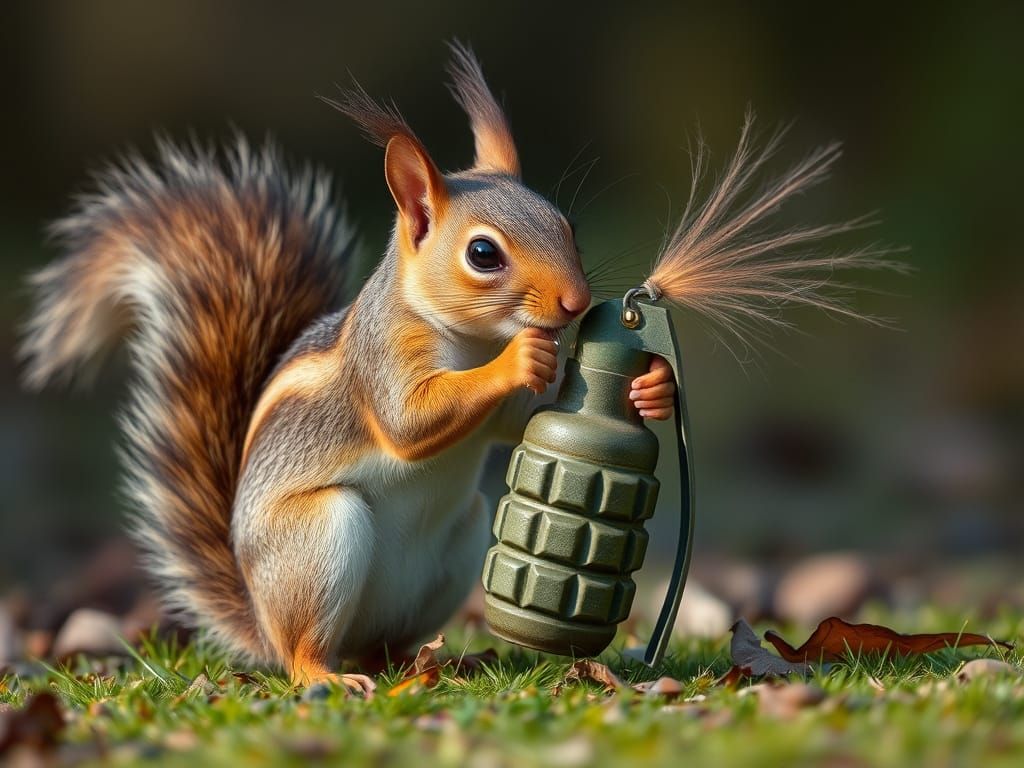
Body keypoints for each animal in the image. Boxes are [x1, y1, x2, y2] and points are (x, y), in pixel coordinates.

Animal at [19, 44, 676, 690]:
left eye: (567, 226)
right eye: (483, 254)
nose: (575, 302)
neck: (471, 341)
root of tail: (260, 623)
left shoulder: (499, 420)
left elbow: (523, 422)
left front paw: (654, 387)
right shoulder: (382, 357)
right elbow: (408, 421)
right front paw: (522, 357)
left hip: (460, 542)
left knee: (388, 643)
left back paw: (438, 661)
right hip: (319, 544)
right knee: (304, 654)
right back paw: (327, 674)